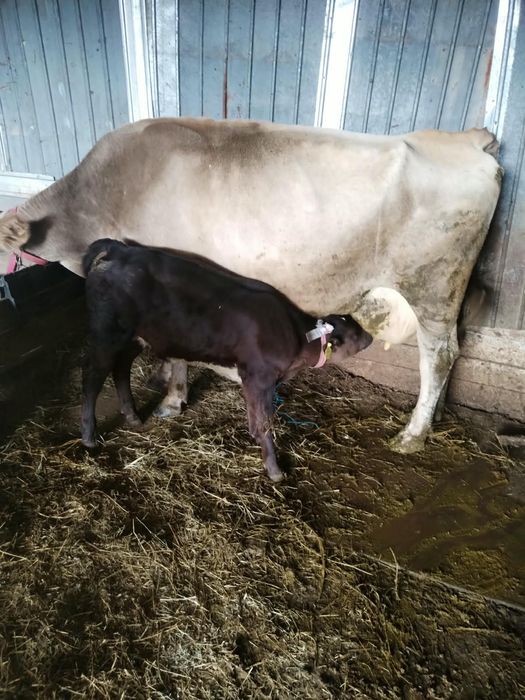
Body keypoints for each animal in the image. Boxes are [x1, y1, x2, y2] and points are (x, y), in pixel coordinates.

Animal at [0, 118, 502, 453]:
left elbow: (177, 350)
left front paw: (172, 399)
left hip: (434, 284)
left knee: (439, 355)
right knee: (448, 352)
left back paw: (412, 434)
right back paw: (434, 417)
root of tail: (467, 139)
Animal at [81, 238, 372, 481]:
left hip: (136, 337)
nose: (370, 337)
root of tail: (120, 249)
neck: (296, 340)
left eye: (355, 324)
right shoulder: (257, 378)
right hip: (106, 333)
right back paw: (89, 437)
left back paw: (132, 416)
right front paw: (274, 469)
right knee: (92, 378)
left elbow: (259, 420)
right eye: (355, 334)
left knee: (121, 368)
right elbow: (262, 424)